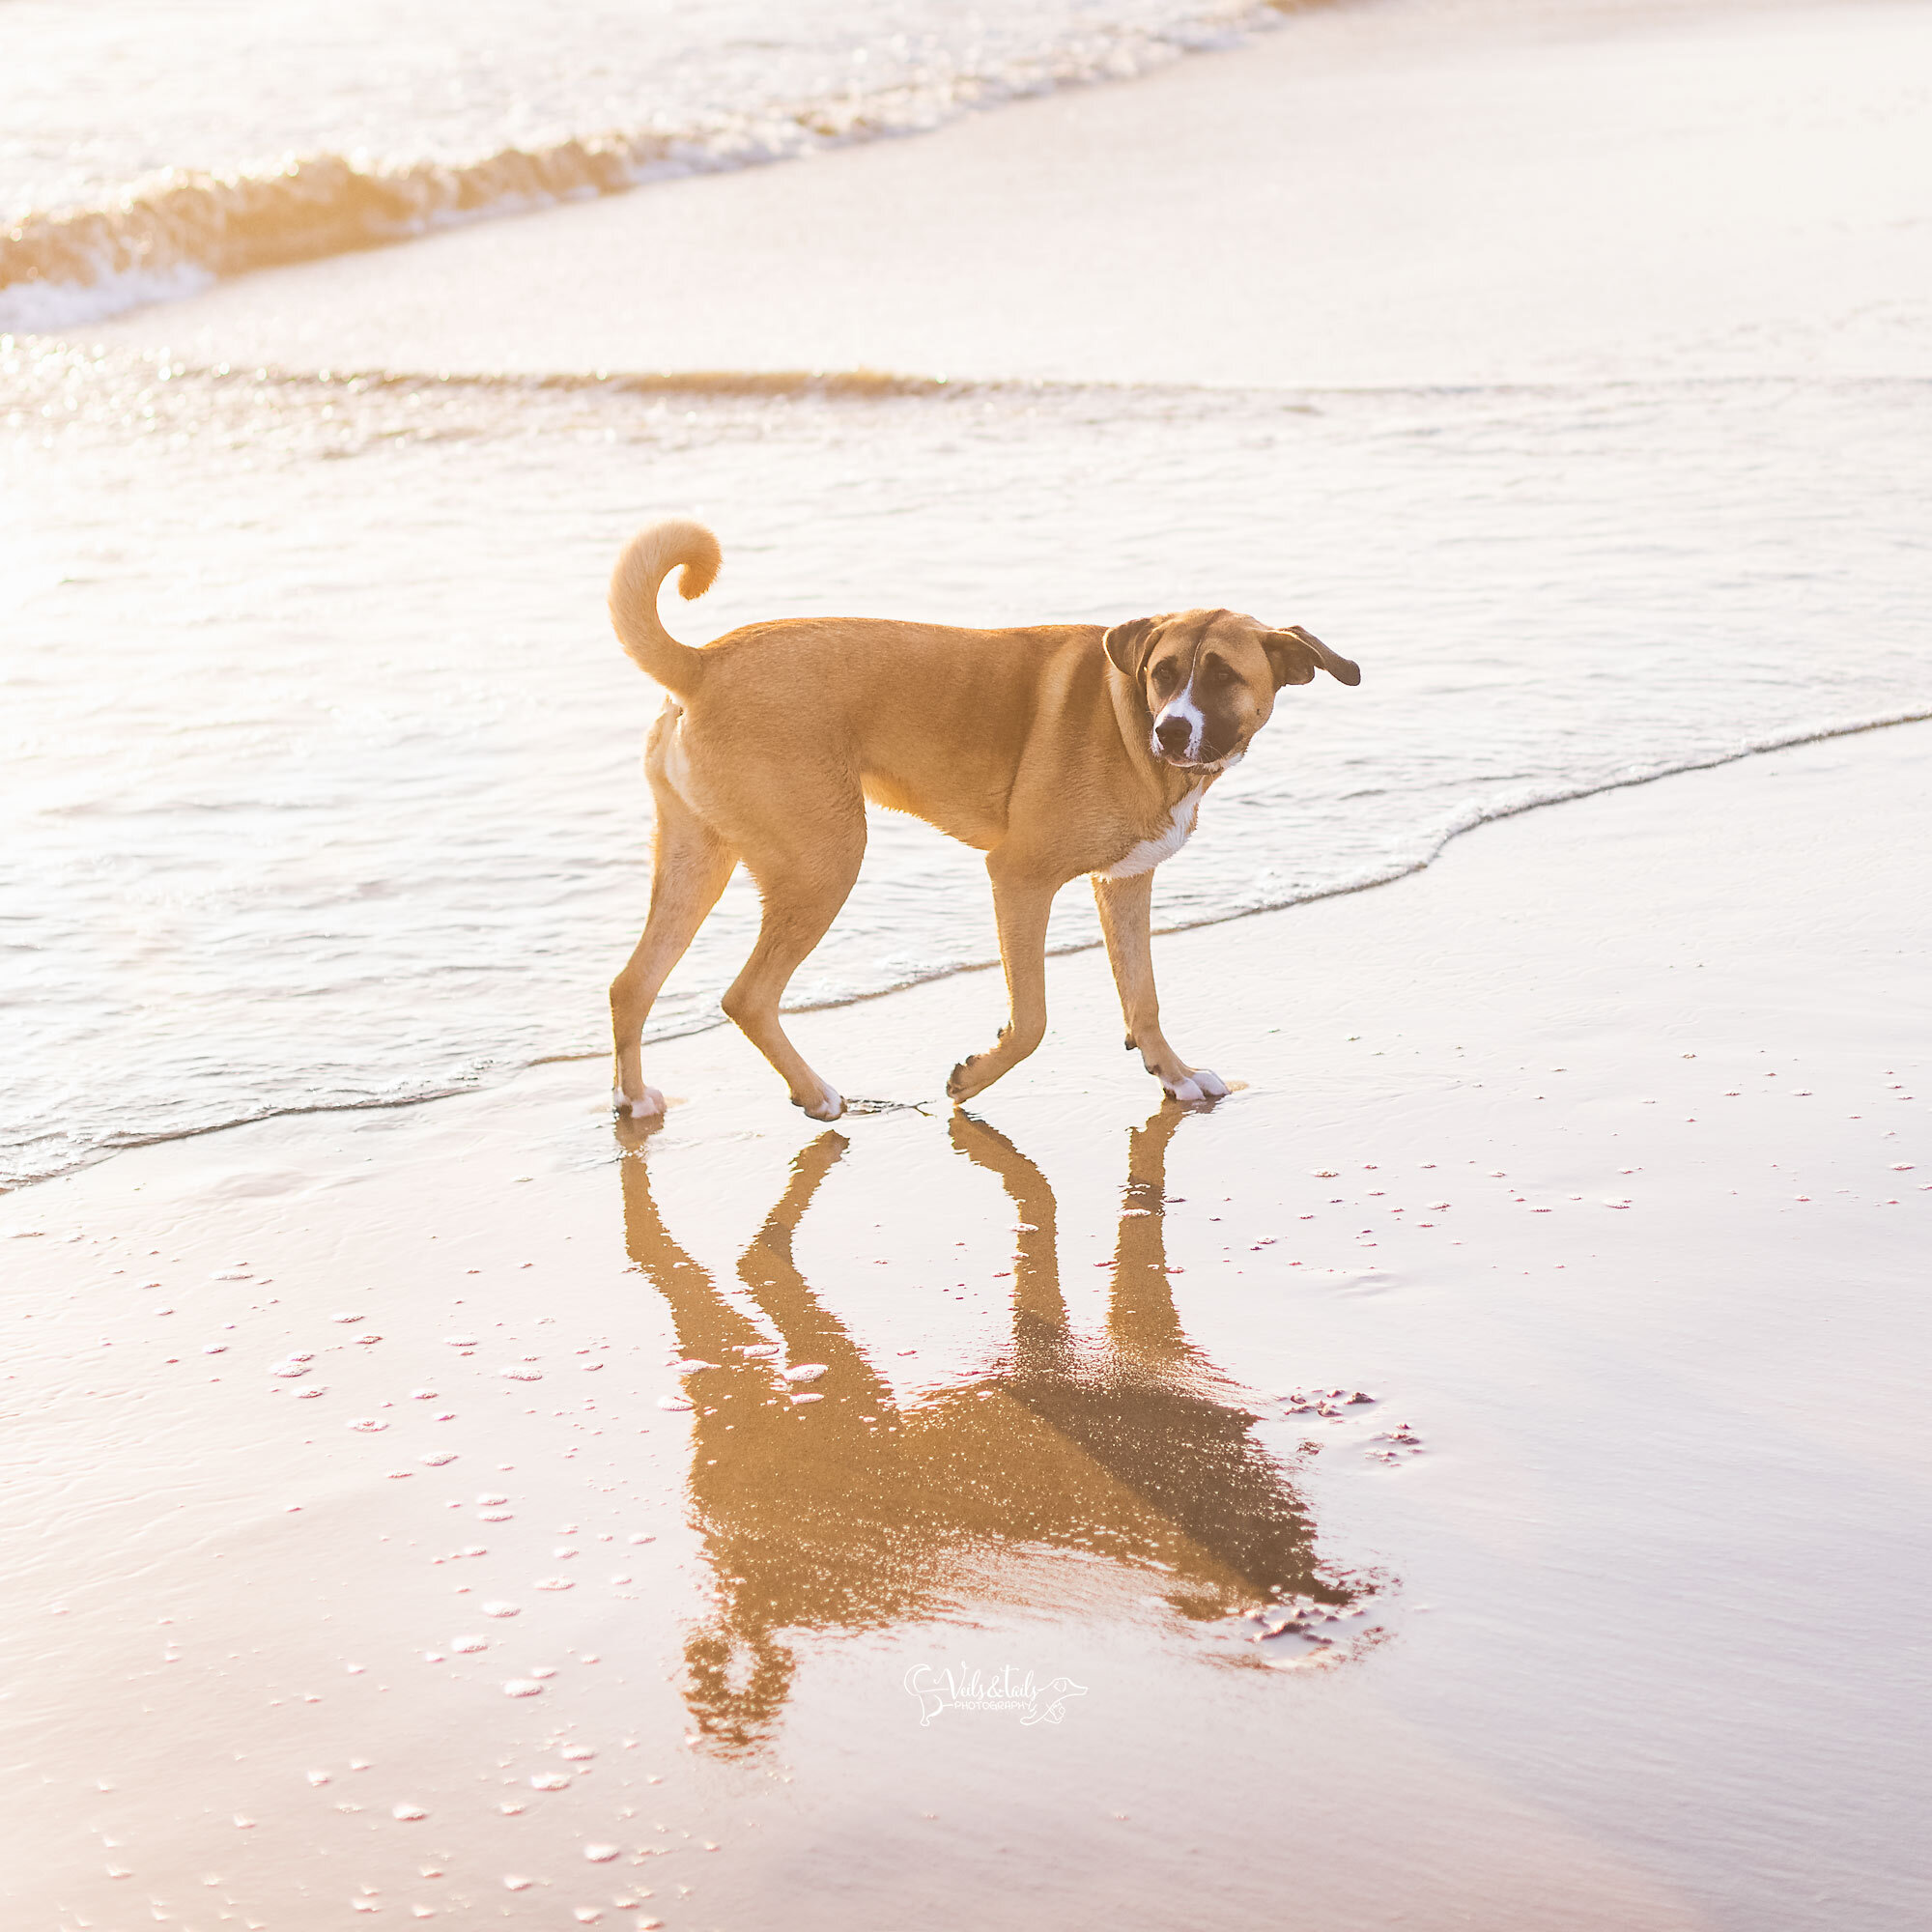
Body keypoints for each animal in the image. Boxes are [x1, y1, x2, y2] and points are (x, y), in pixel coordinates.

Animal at [603, 522, 1360, 1128]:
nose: (1172, 732)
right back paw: (815, 1094)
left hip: (700, 862)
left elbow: (1141, 998)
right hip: (826, 861)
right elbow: (1033, 1020)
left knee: (632, 983)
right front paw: (971, 1081)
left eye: (1223, 675)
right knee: (747, 996)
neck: (1124, 716)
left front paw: (1173, 1076)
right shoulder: (1019, 878)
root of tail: (701, 665)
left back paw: (634, 1101)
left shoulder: (1124, 884)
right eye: (1164, 672)